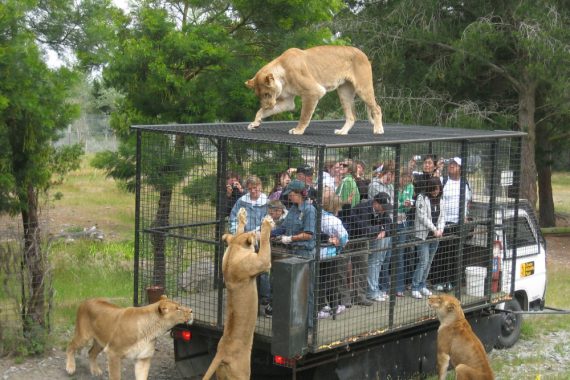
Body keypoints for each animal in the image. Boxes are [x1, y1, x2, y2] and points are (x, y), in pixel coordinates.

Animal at [203, 208, 274, 380]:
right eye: (253, 234)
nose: (255, 231)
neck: (234, 249)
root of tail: (222, 353)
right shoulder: (262, 262)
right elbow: (265, 244)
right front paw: (266, 223)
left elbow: (238, 231)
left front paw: (241, 216)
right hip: (242, 373)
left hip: (221, 375)